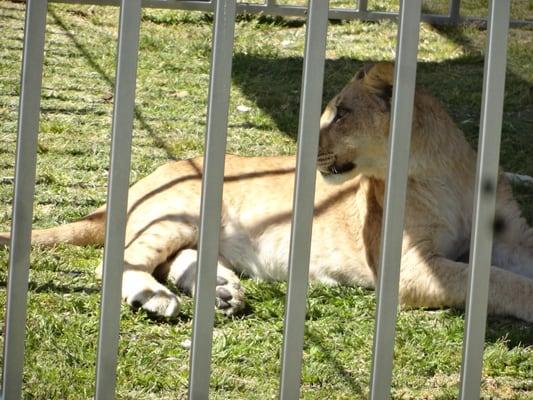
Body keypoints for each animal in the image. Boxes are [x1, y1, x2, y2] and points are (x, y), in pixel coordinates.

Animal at [1, 62, 532, 320]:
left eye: (341, 113)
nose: (303, 146)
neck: (446, 175)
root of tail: (137, 182)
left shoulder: (511, 239)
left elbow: (506, 269)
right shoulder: (409, 268)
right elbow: (493, 280)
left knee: (172, 258)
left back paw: (221, 291)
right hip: (182, 209)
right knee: (120, 260)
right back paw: (157, 299)